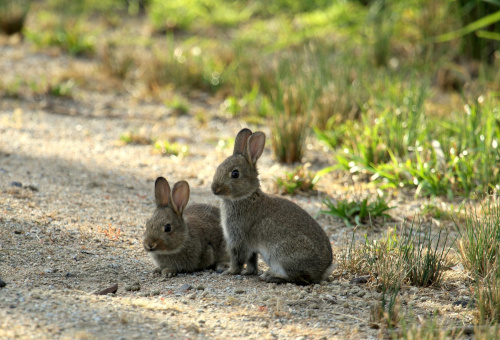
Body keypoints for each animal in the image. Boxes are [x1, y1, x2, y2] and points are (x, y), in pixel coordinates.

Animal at [212, 129, 334, 286]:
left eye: (235, 174)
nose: (214, 189)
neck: (245, 196)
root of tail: (324, 270)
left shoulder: (238, 239)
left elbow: (238, 259)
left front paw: (229, 272)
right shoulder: (250, 246)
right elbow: (252, 260)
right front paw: (248, 272)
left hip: (282, 255)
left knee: (300, 278)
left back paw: (270, 276)